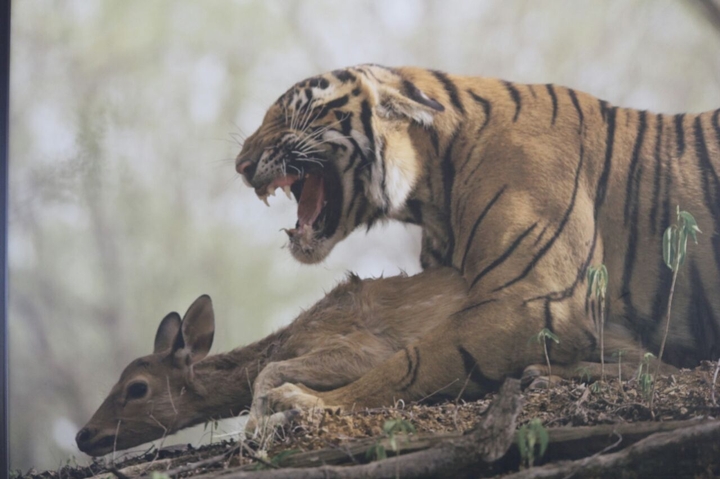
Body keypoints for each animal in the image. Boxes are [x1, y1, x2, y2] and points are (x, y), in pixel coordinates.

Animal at [234, 64, 720, 414]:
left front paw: (309, 400)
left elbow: (409, 363)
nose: (241, 165)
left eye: (289, 113)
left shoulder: (531, 300)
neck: (431, 188)